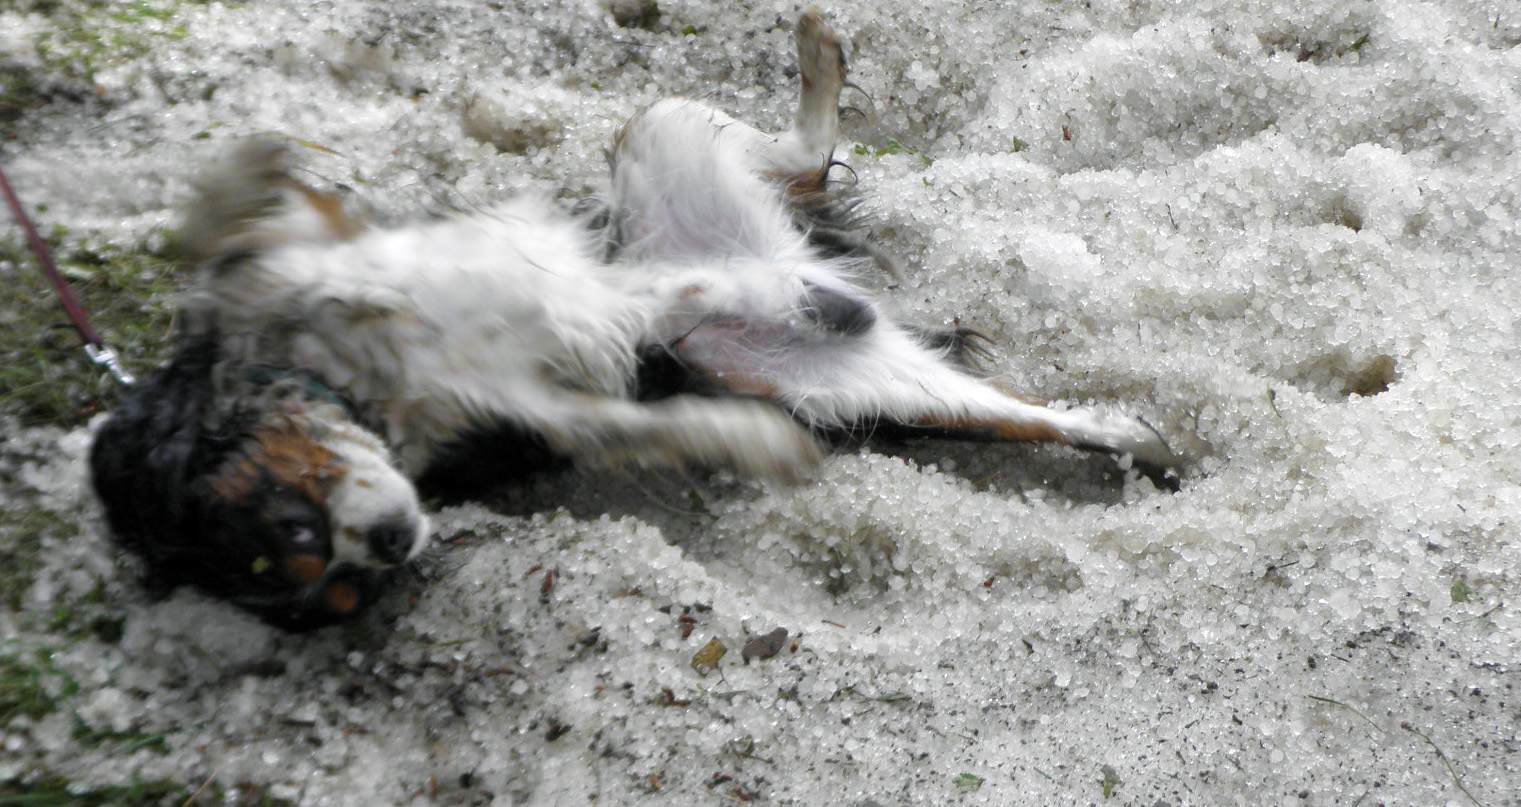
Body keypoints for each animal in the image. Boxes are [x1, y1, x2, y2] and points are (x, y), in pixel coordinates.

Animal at [90, 10, 1175, 630]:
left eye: (295, 528)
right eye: (324, 579)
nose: (398, 541)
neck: (364, 394)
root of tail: (797, 251)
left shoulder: (314, 252)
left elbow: (239, 233)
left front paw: (242, 184)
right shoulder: (540, 410)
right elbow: (646, 422)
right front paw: (751, 445)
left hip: (665, 140)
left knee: (792, 160)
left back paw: (814, 62)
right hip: (834, 379)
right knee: (1020, 414)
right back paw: (1138, 438)